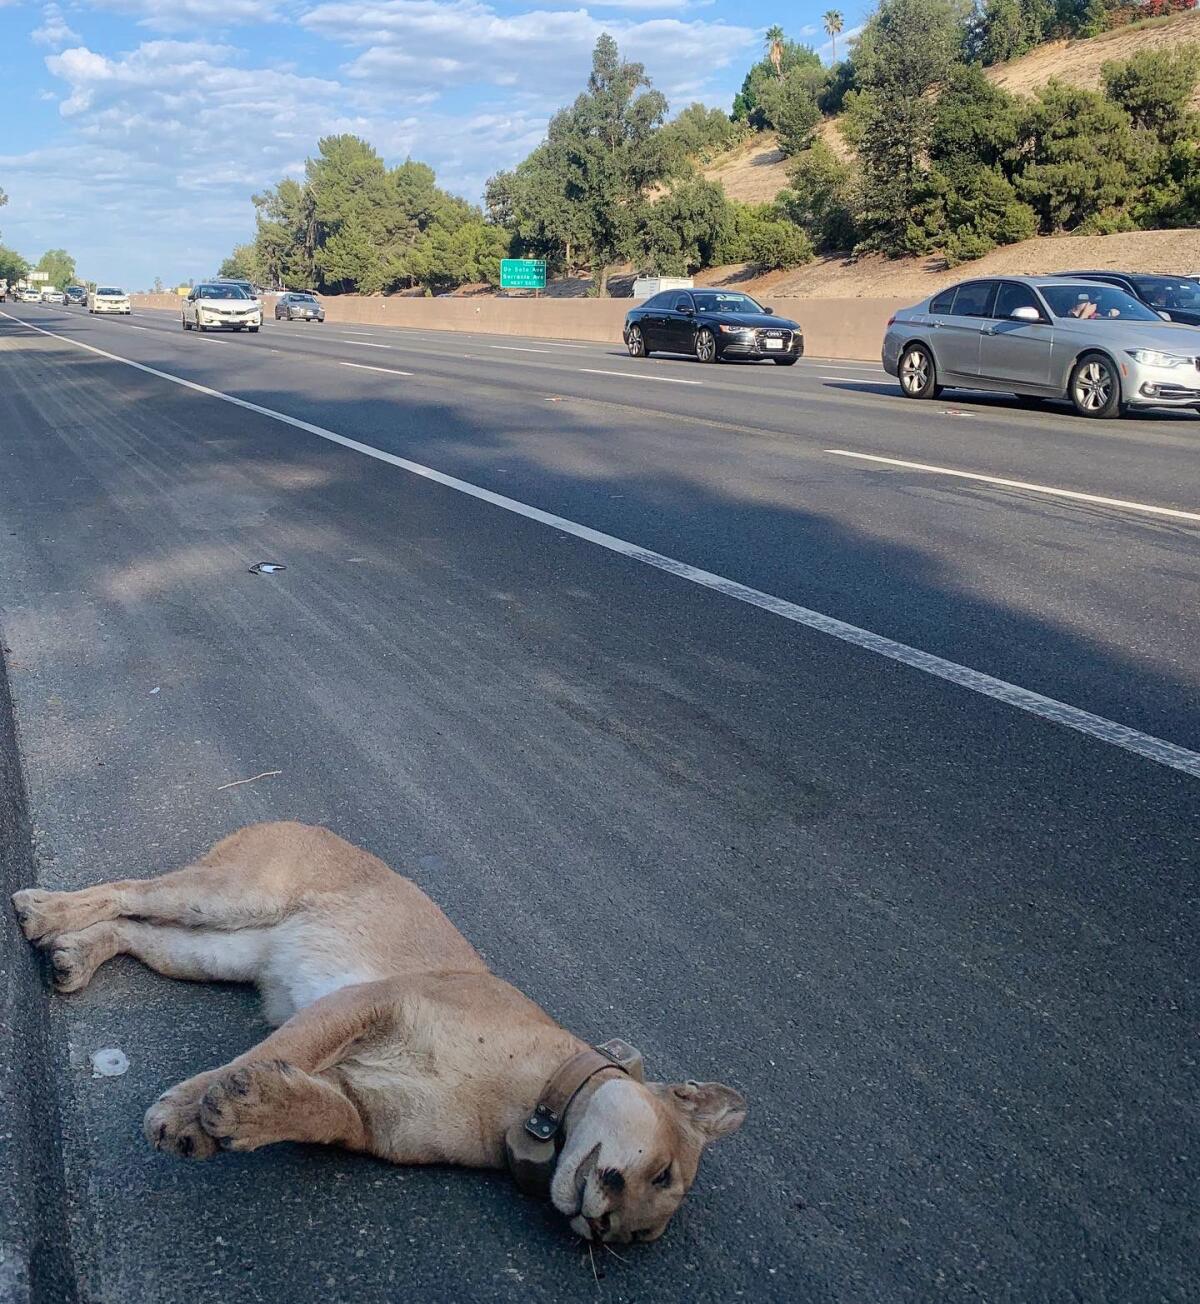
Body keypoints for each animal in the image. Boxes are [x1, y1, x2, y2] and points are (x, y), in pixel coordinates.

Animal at [14, 824, 746, 1241]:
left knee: (138, 932)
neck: (529, 1104)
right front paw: (190, 1111)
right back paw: (41, 910)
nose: (601, 1226)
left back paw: (71, 954)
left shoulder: (374, 1117)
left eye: (639, 1240)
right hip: (228, 897)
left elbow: (319, 1110)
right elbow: (280, 1048)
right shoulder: (376, 1000)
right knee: (130, 890)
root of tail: (293, 816)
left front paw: (253, 1110)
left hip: (221, 951)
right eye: (663, 1174)